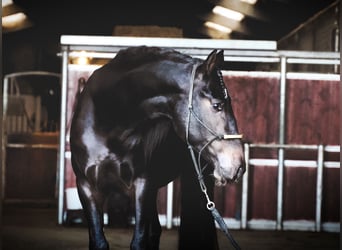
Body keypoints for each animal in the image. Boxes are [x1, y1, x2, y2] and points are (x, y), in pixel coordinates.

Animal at [70, 46, 246, 249]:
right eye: (217, 105)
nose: (239, 166)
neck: (109, 122)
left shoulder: (142, 185)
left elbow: (139, 241)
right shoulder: (86, 187)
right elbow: (98, 241)